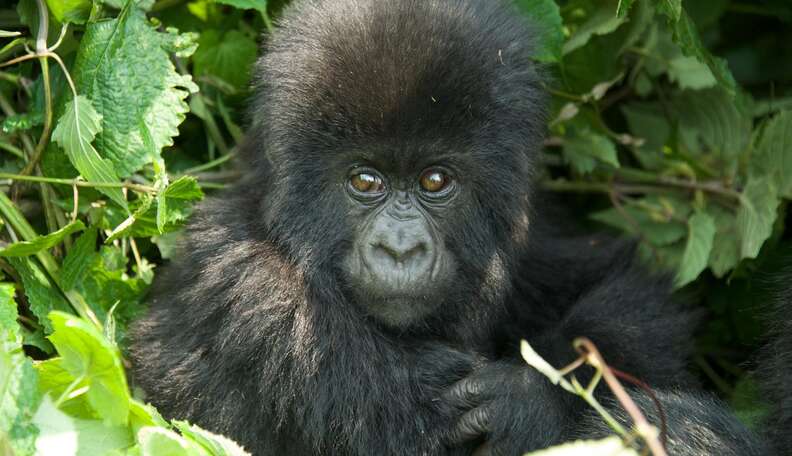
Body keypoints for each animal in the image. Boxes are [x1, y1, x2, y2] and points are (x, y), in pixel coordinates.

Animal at [130, 0, 768, 454]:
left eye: (435, 180)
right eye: (366, 180)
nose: (400, 248)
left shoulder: (530, 233)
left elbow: (629, 300)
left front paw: (527, 399)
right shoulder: (246, 291)